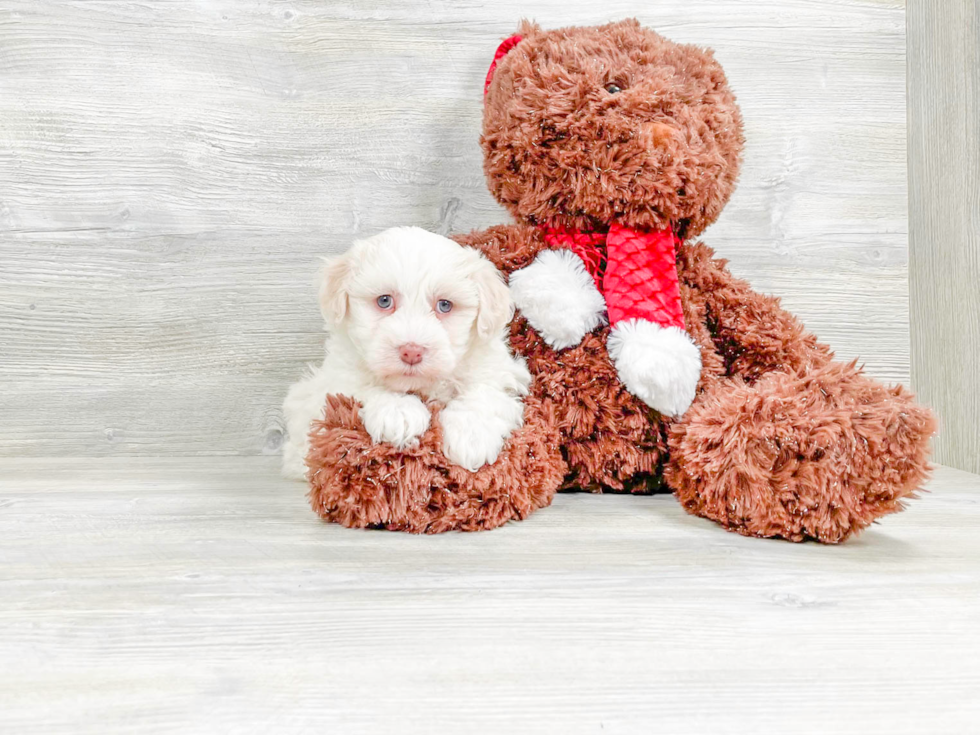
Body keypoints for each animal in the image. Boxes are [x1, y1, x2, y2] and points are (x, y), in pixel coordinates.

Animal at [280, 227, 532, 480]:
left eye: (444, 305)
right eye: (384, 301)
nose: (411, 351)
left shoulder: (498, 369)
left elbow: (484, 391)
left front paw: (471, 435)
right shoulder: (336, 377)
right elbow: (360, 385)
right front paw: (398, 410)